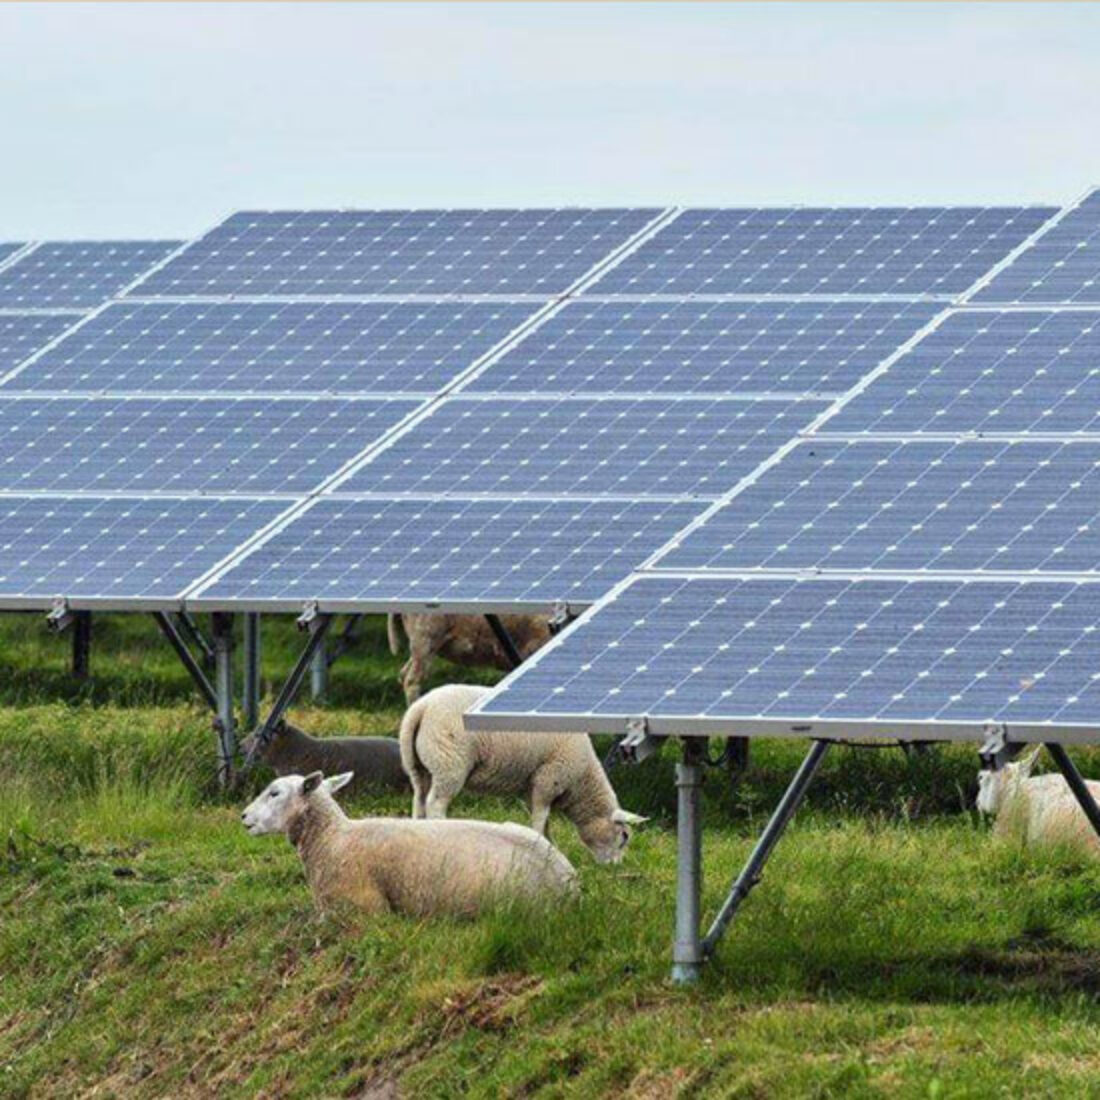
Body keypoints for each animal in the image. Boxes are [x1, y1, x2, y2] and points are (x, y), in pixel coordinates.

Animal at [400, 682, 646, 862]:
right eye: (624, 836)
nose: (616, 867)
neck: (581, 782)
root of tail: (421, 707)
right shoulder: (549, 780)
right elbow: (540, 820)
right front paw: (543, 846)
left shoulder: (533, 787)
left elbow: (544, 823)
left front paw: (550, 846)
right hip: (450, 763)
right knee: (435, 804)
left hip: (419, 766)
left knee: (419, 799)